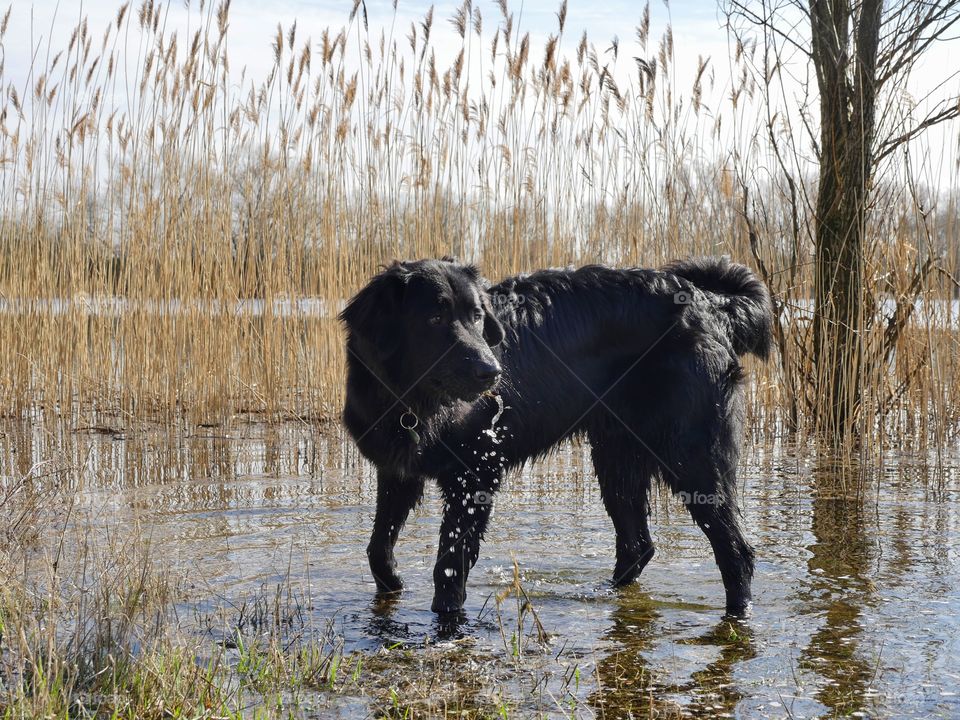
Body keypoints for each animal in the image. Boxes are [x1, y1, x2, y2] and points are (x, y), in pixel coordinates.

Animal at [338, 256, 772, 616]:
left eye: (477, 316)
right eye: (434, 319)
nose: (491, 371)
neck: (414, 402)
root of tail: (710, 303)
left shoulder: (475, 474)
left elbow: (449, 564)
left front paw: (447, 617)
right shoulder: (398, 472)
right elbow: (378, 547)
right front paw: (392, 584)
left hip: (692, 457)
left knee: (736, 552)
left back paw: (738, 616)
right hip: (616, 455)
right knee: (638, 545)